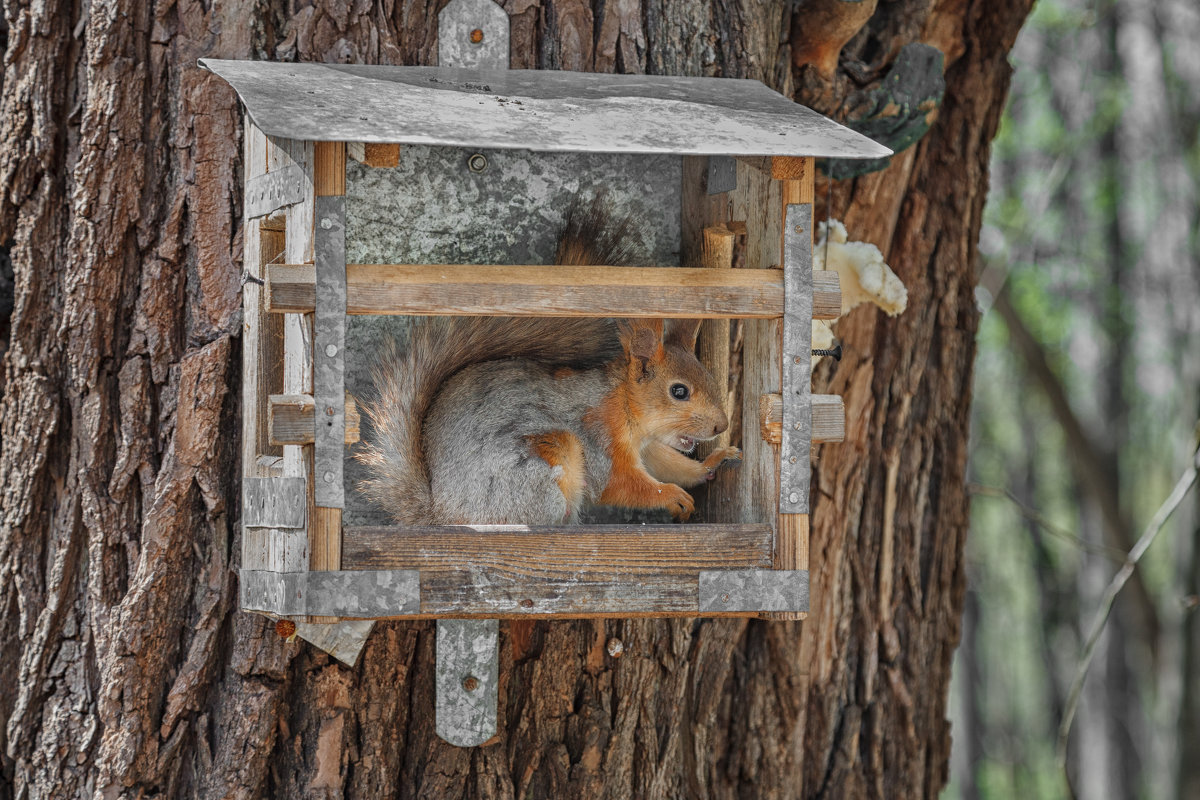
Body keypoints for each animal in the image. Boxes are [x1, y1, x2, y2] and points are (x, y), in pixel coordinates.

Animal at [355, 199, 739, 525]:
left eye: (708, 376)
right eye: (679, 391)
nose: (721, 425)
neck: (625, 405)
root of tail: (441, 514)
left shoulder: (647, 448)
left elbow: (670, 463)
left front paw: (710, 464)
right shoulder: (599, 438)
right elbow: (620, 483)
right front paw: (671, 495)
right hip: (544, 462)